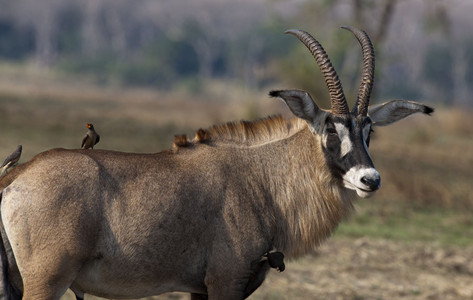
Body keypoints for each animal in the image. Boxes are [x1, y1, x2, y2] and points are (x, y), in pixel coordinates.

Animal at [0, 27, 432, 298]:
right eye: (330, 129)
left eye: (369, 130)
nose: (369, 178)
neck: (261, 178)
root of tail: (16, 178)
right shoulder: (225, 281)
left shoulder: (201, 288)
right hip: (47, 281)